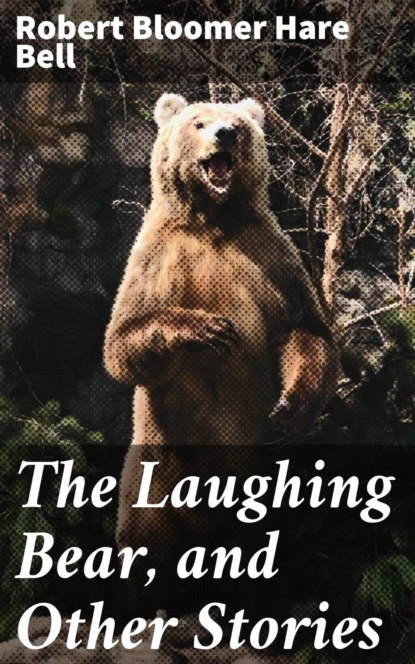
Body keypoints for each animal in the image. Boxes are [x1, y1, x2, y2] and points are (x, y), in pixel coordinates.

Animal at [103, 94, 337, 619]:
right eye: (199, 122)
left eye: (239, 124)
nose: (225, 134)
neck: (211, 221)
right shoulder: (156, 258)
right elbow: (123, 341)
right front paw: (207, 329)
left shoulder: (268, 255)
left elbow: (304, 330)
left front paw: (288, 412)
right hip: (157, 473)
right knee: (146, 543)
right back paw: (150, 608)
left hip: (259, 491)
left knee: (258, 548)